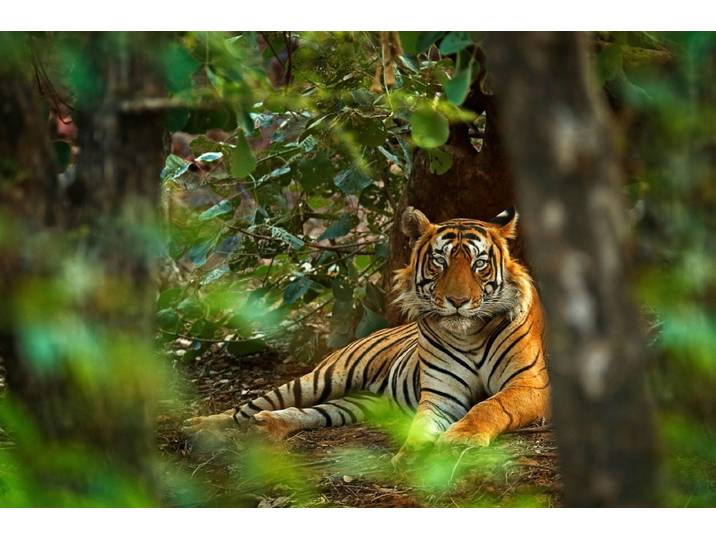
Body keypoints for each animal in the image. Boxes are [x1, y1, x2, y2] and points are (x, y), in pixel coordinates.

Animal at [183, 206, 550, 463]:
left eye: (479, 264)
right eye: (440, 262)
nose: (457, 301)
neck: (469, 334)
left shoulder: (530, 384)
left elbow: (490, 406)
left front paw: (461, 438)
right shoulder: (441, 394)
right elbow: (422, 425)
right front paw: (412, 455)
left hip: (360, 403)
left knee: (312, 413)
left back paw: (267, 426)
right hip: (323, 377)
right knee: (248, 407)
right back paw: (200, 426)